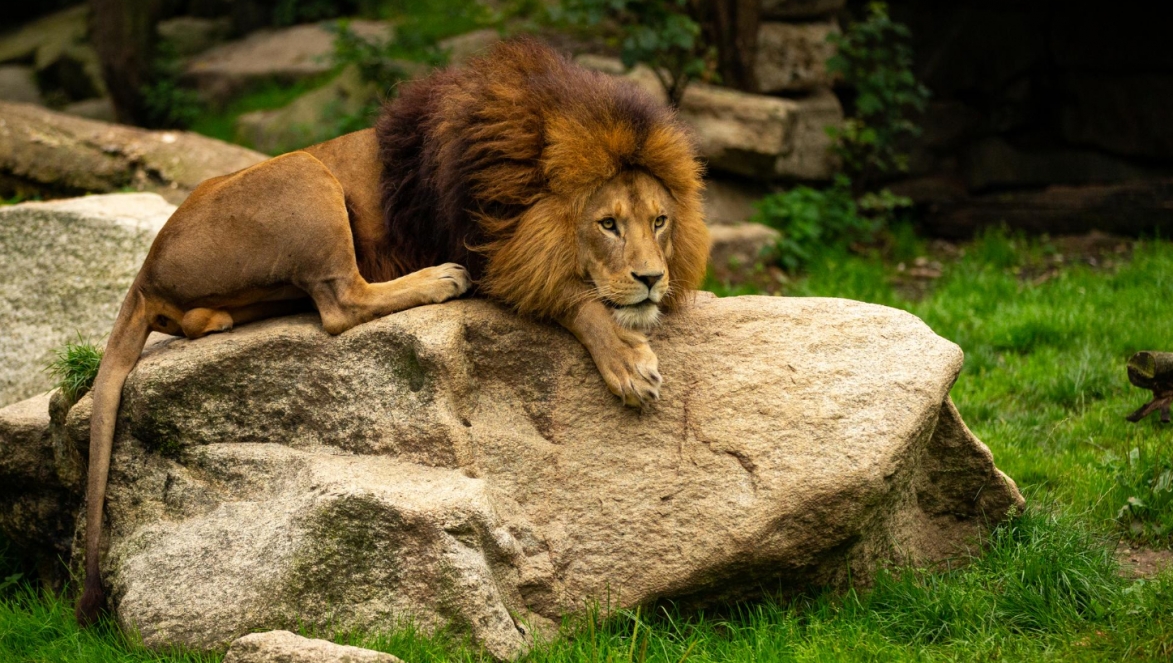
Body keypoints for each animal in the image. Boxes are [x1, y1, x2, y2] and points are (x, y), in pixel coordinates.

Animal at [82, 38, 708, 624]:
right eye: (607, 224)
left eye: (660, 220)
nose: (652, 278)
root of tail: (145, 270)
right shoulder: (496, 252)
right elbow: (578, 300)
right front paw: (627, 361)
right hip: (305, 171)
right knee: (339, 302)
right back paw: (438, 279)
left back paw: (222, 318)